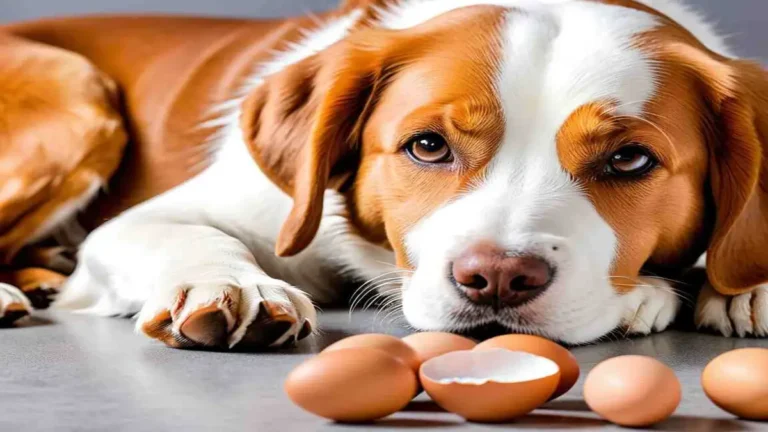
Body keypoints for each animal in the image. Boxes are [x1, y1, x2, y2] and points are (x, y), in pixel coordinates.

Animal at [0, 0, 764, 348]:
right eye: (427, 146)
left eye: (629, 159)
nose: (497, 278)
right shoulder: (157, 220)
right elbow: (187, 235)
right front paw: (237, 287)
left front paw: (740, 288)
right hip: (80, 99)